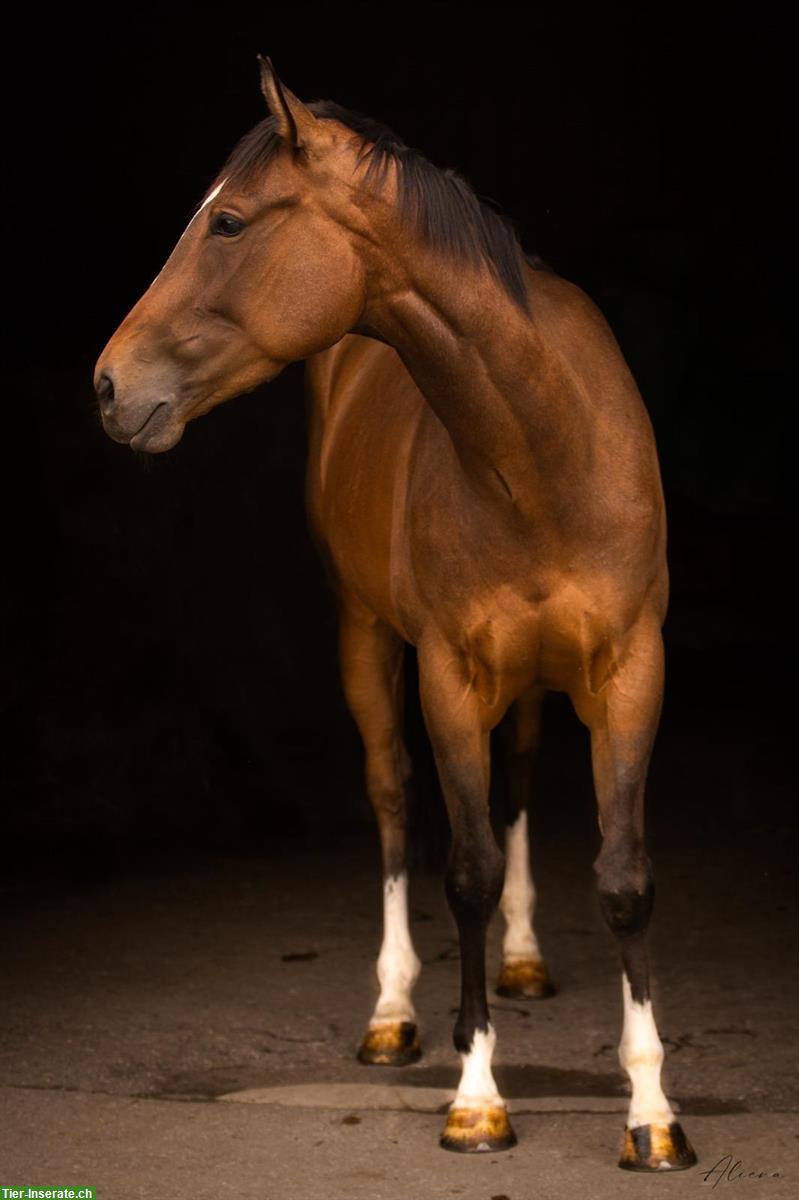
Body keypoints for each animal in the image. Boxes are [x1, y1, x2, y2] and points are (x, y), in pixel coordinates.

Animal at [91, 58, 691, 1171]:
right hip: (366, 643)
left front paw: (652, 1114)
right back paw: (393, 1013)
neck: (544, 451)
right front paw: (476, 1099)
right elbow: (462, 869)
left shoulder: (632, 672)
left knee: (516, 782)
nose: (109, 384)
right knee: (391, 799)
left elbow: (622, 876)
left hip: (533, 685)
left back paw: (523, 960)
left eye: (228, 222)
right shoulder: (449, 679)